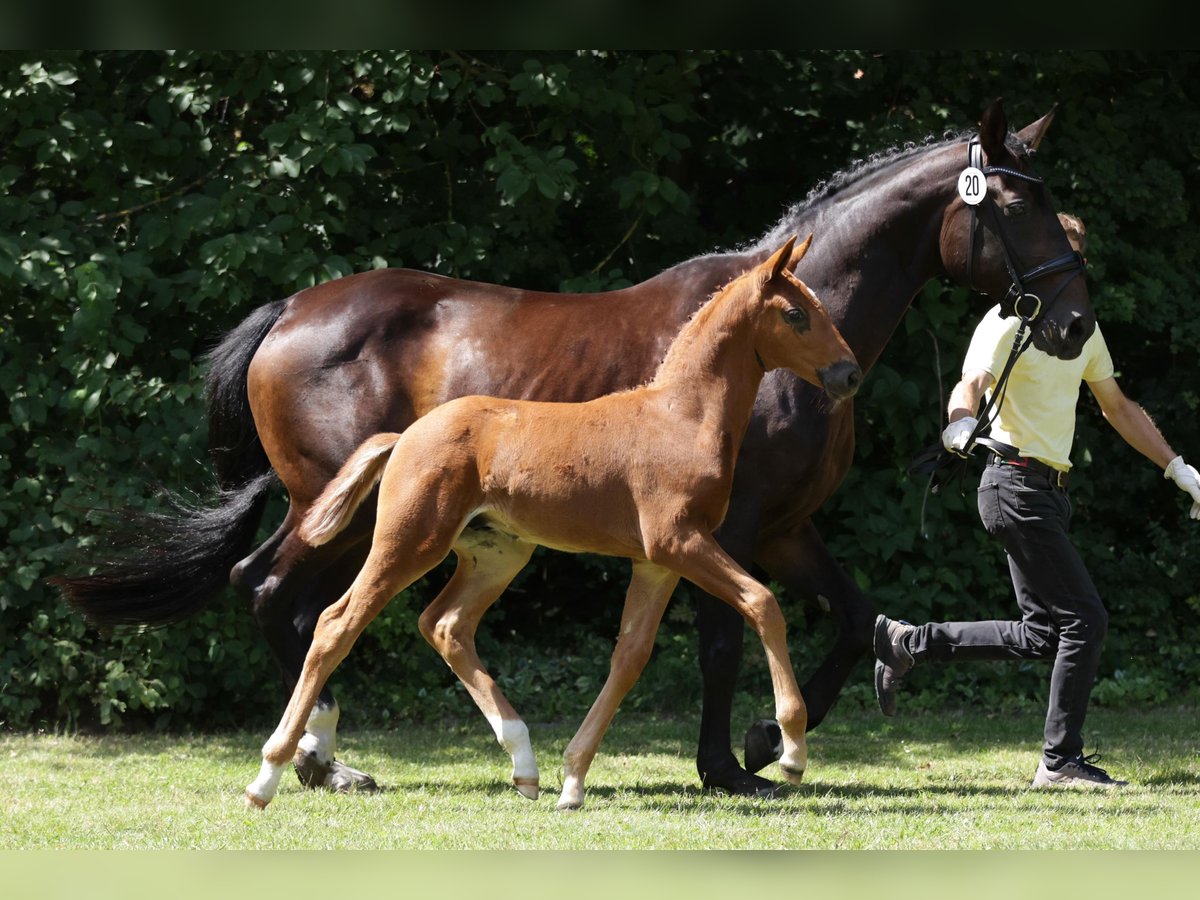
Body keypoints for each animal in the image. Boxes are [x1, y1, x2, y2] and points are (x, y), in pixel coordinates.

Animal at [246, 236, 864, 816]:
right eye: (795, 314)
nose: (849, 373)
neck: (681, 417)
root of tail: (405, 437)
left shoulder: (656, 561)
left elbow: (629, 657)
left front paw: (572, 780)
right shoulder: (681, 541)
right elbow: (763, 603)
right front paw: (789, 749)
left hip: (497, 554)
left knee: (444, 625)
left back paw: (524, 765)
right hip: (408, 541)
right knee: (335, 624)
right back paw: (270, 776)